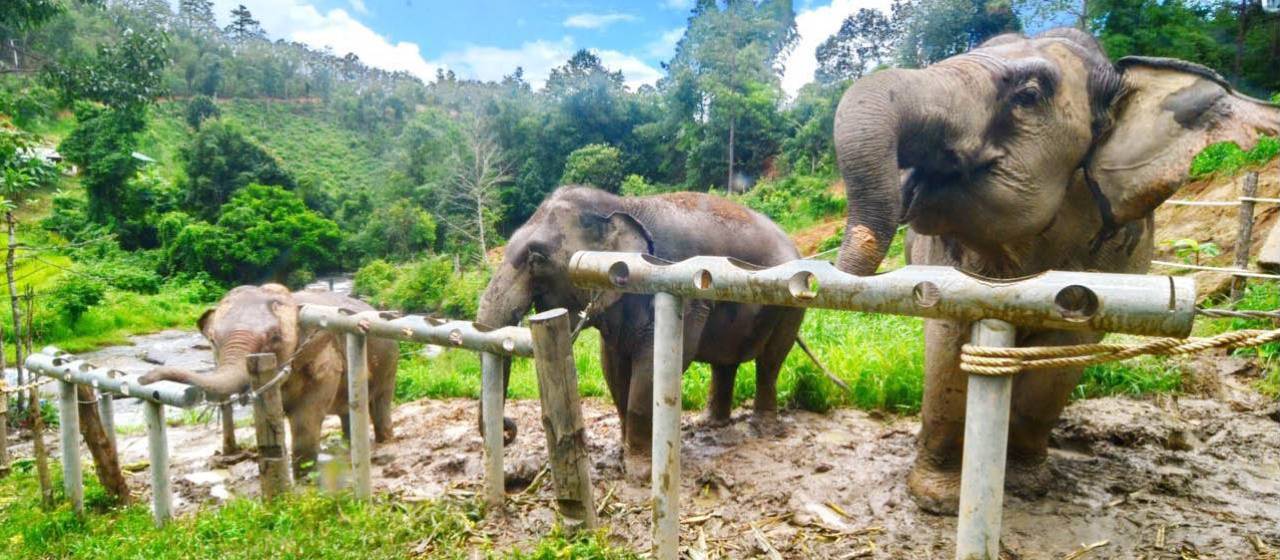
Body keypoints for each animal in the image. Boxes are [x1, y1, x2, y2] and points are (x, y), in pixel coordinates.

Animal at [140, 284, 399, 475]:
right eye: (212, 340)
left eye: (275, 338)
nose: (144, 378)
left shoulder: (325, 360)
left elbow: (305, 419)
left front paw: (304, 476)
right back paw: (347, 445)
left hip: (389, 360)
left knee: (380, 401)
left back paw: (383, 441)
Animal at [477, 186, 806, 464]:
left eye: (536, 257)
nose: (509, 431)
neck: (620, 205)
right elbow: (613, 368)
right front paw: (621, 456)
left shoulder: (682, 291)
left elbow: (653, 367)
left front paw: (638, 471)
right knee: (725, 363)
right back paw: (710, 424)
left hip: (790, 304)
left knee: (770, 361)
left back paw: (761, 428)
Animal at [830, 28, 1280, 514]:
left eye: (1028, 95)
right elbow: (948, 349)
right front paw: (938, 500)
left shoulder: (1114, 258)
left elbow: (1060, 360)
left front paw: (1028, 485)